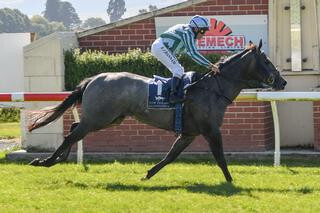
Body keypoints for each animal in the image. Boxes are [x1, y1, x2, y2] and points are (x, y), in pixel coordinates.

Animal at [28, 40, 286, 182]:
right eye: (266, 61)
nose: (282, 81)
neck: (213, 89)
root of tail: (94, 78)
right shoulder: (211, 130)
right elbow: (220, 158)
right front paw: (231, 182)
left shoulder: (189, 133)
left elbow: (170, 156)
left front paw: (147, 174)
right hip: (99, 118)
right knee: (72, 134)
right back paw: (46, 161)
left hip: (108, 118)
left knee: (73, 129)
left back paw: (60, 158)